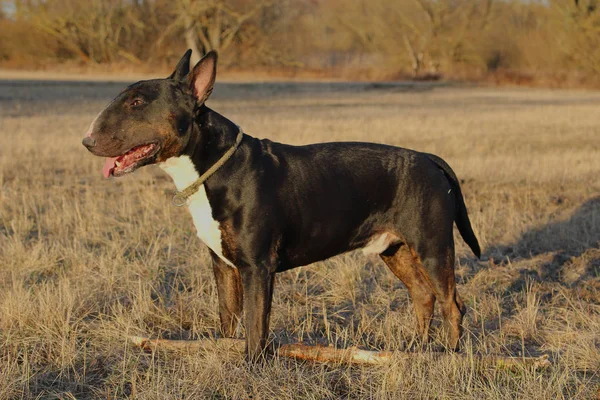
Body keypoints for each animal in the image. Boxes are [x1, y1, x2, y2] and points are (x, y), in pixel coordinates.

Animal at [82, 50, 480, 362]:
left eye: (137, 102)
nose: (86, 140)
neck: (213, 165)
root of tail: (429, 159)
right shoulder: (223, 265)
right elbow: (229, 320)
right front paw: (224, 353)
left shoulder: (258, 266)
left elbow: (257, 325)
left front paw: (252, 368)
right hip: (395, 250)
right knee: (423, 295)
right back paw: (416, 350)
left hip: (432, 247)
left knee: (452, 303)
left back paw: (449, 355)